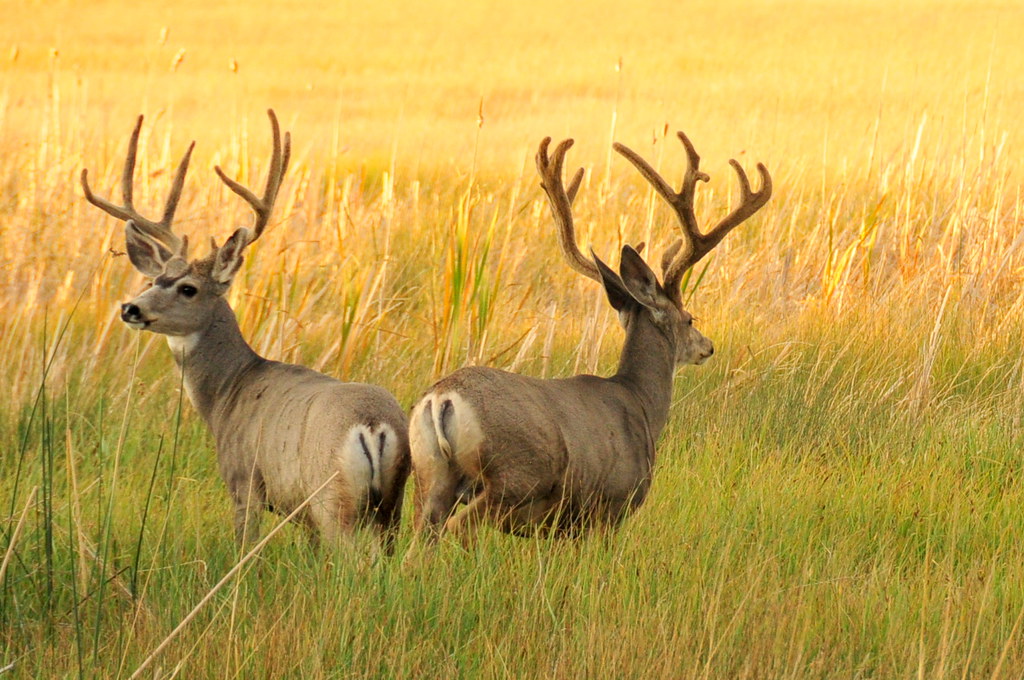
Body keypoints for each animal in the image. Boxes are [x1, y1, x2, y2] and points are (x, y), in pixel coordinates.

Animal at [81, 110, 409, 549]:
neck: (227, 392)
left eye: (189, 288)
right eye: (153, 280)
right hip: (391, 506)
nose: (130, 308)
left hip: (332, 499)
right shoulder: (300, 512)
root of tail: (374, 426)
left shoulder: (244, 481)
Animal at [408, 131, 771, 541]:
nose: (708, 347)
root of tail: (441, 399)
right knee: (457, 527)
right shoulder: (611, 506)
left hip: (429, 474)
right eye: (690, 318)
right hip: (514, 475)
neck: (641, 403)